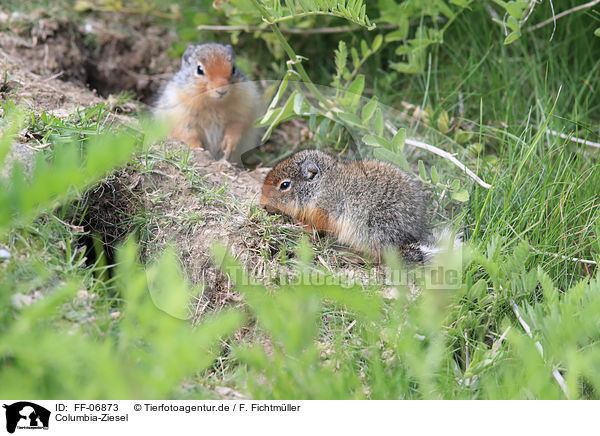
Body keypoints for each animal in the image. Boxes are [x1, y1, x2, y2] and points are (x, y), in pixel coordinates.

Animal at [260, 150, 434, 262]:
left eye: (284, 185)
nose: (262, 204)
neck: (320, 186)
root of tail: (405, 242)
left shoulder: (323, 211)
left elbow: (315, 226)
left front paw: (302, 227)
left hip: (369, 231)